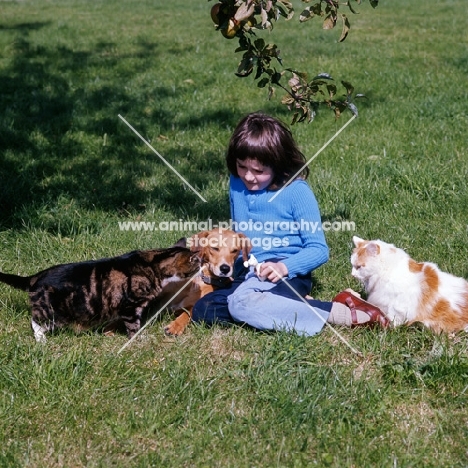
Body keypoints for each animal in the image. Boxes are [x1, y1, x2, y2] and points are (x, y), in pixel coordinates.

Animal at [0, 241, 199, 340]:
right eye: (196, 262)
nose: (201, 265)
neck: (152, 263)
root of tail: (36, 276)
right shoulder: (130, 306)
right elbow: (133, 326)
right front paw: (138, 340)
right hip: (54, 314)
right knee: (35, 323)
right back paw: (41, 341)